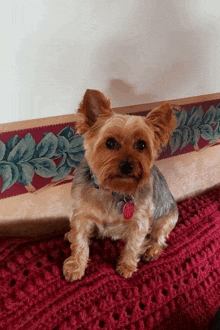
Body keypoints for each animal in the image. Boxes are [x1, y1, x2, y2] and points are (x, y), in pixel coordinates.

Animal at [63, 89, 179, 282]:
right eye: (110, 142)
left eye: (141, 145)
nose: (127, 166)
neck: (114, 190)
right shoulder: (81, 214)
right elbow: (80, 241)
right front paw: (75, 266)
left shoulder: (140, 221)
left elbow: (133, 245)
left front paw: (126, 266)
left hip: (167, 217)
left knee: (159, 236)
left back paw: (151, 250)